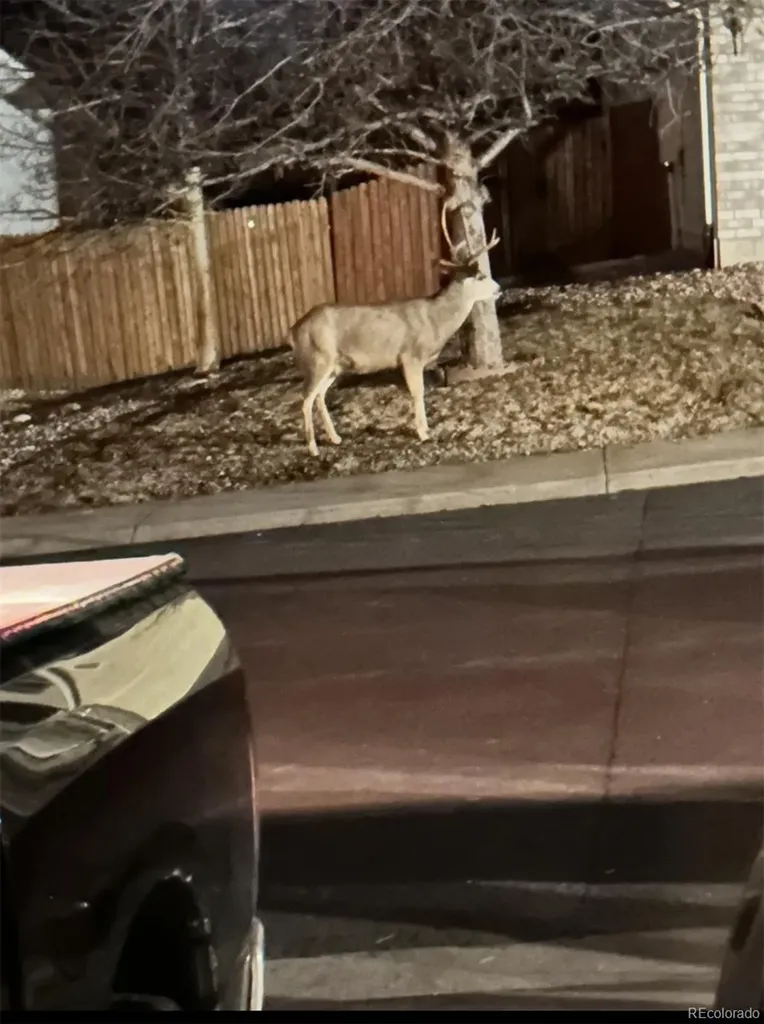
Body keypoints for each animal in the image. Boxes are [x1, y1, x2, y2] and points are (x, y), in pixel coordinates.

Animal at [286, 203, 501, 456]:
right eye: (481, 276)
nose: (498, 288)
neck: (435, 319)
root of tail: (293, 331)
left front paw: (426, 430)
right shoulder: (410, 356)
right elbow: (418, 392)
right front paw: (423, 433)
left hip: (335, 365)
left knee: (319, 396)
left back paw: (336, 438)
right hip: (317, 358)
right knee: (305, 400)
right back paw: (313, 448)